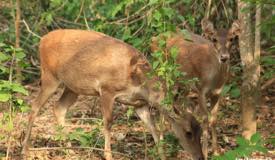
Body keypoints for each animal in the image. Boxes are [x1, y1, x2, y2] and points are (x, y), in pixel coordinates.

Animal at [22, 29, 205, 160]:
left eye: (201, 132)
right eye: (188, 132)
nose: (200, 157)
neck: (138, 80)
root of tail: (42, 40)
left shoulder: (139, 104)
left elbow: (153, 127)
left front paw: (162, 156)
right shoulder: (107, 90)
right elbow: (108, 122)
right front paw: (108, 155)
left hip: (72, 87)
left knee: (58, 107)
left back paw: (70, 150)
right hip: (49, 77)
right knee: (35, 107)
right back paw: (25, 149)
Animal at [151, 19, 242, 158]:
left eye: (231, 38)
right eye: (214, 39)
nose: (224, 57)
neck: (214, 79)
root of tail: (154, 38)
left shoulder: (218, 92)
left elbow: (214, 120)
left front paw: (216, 152)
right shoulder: (200, 89)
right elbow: (205, 119)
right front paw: (205, 153)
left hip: (180, 83)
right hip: (162, 72)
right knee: (163, 102)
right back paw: (162, 143)